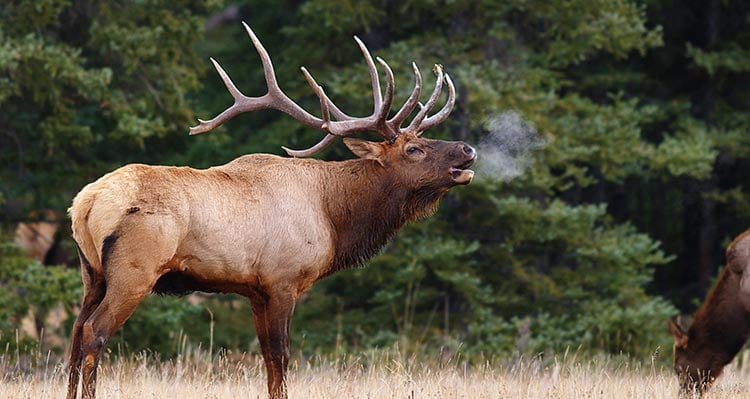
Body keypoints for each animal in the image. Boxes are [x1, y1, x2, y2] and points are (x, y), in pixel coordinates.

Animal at [64, 22, 476, 399]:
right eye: (413, 149)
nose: (467, 149)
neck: (333, 216)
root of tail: (85, 202)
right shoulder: (283, 279)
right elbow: (281, 356)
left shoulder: (255, 290)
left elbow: (265, 358)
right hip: (134, 271)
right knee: (94, 332)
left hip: (91, 274)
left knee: (75, 332)